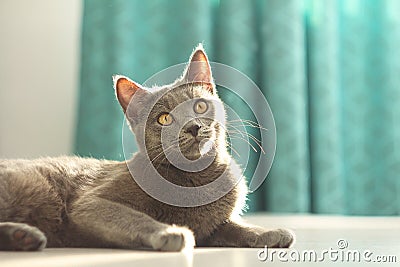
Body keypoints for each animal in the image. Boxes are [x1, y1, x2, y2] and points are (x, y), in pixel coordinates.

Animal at [0, 45, 294, 252]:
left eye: (200, 106)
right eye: (164, 118)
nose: (193, 127)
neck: (196, 180)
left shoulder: (213, 227)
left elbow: (233, 227)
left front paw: (268, 233)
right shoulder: (91, 203)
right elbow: (132, 217)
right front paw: (170, 232)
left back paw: (24, 237)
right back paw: (25, 235)